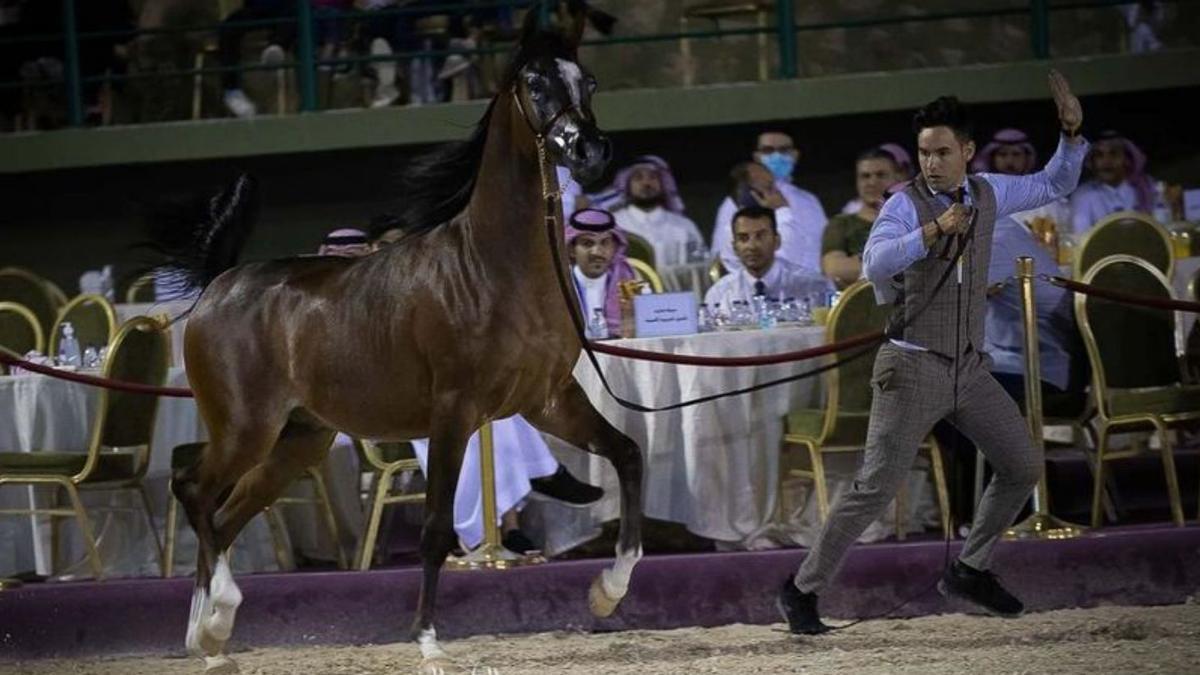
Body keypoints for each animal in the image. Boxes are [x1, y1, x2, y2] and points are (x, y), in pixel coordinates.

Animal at [157, 6, 648, 672]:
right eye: (535, 82)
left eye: (588, 81)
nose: (591, 150)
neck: (495, 265)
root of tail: (221, 283)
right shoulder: (454, 412)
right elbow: (436, 527)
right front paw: (428, 642)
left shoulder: (548, 401)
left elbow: (627, 453)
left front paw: (607, 592)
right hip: (244, 429)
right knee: (194, 492)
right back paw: (213, 622)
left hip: (297, 442)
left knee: (227, 514)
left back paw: (209, 639)